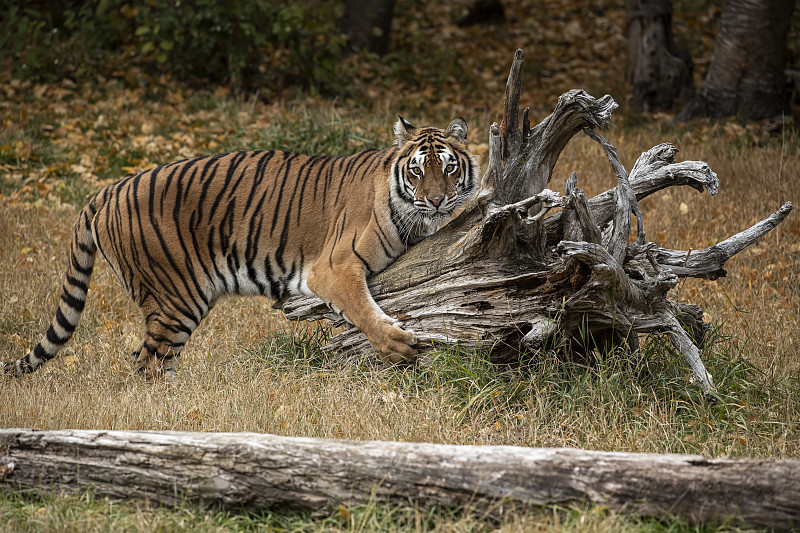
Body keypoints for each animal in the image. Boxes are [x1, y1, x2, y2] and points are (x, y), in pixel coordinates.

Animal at [3, 115, 478, 378]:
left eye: (449, 168)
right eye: (417, 171)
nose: (438, 200)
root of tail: (110, 187)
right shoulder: (332, 268)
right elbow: (362, 309)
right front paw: (397, 346)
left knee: (148, 359)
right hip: (175, 298)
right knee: (146, 363)